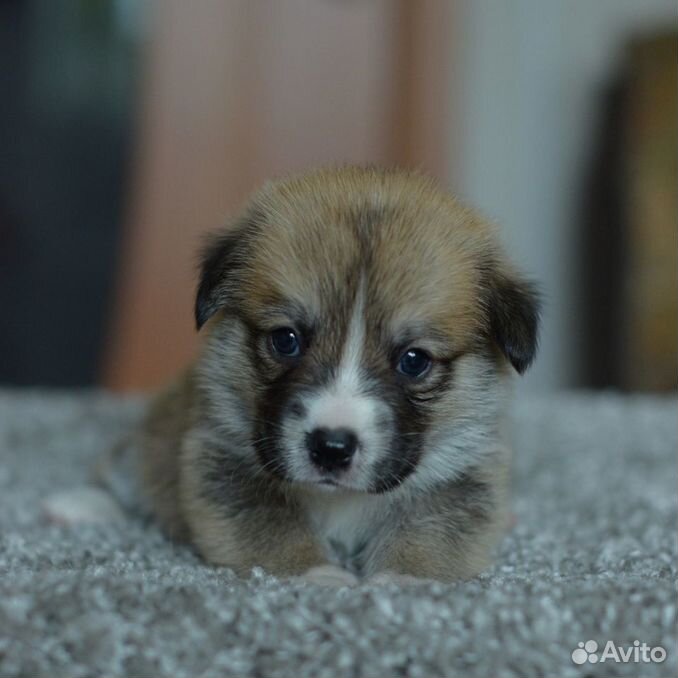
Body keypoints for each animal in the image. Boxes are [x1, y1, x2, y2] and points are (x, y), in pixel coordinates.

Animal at [130, 169, 540, 584]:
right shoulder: (223, 465)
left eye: (414, 361)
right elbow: (273, 531)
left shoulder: (459, 481)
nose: (331, 448)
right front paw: (320, 577)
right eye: (285, 340)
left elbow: (427, 534)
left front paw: (401, 581)